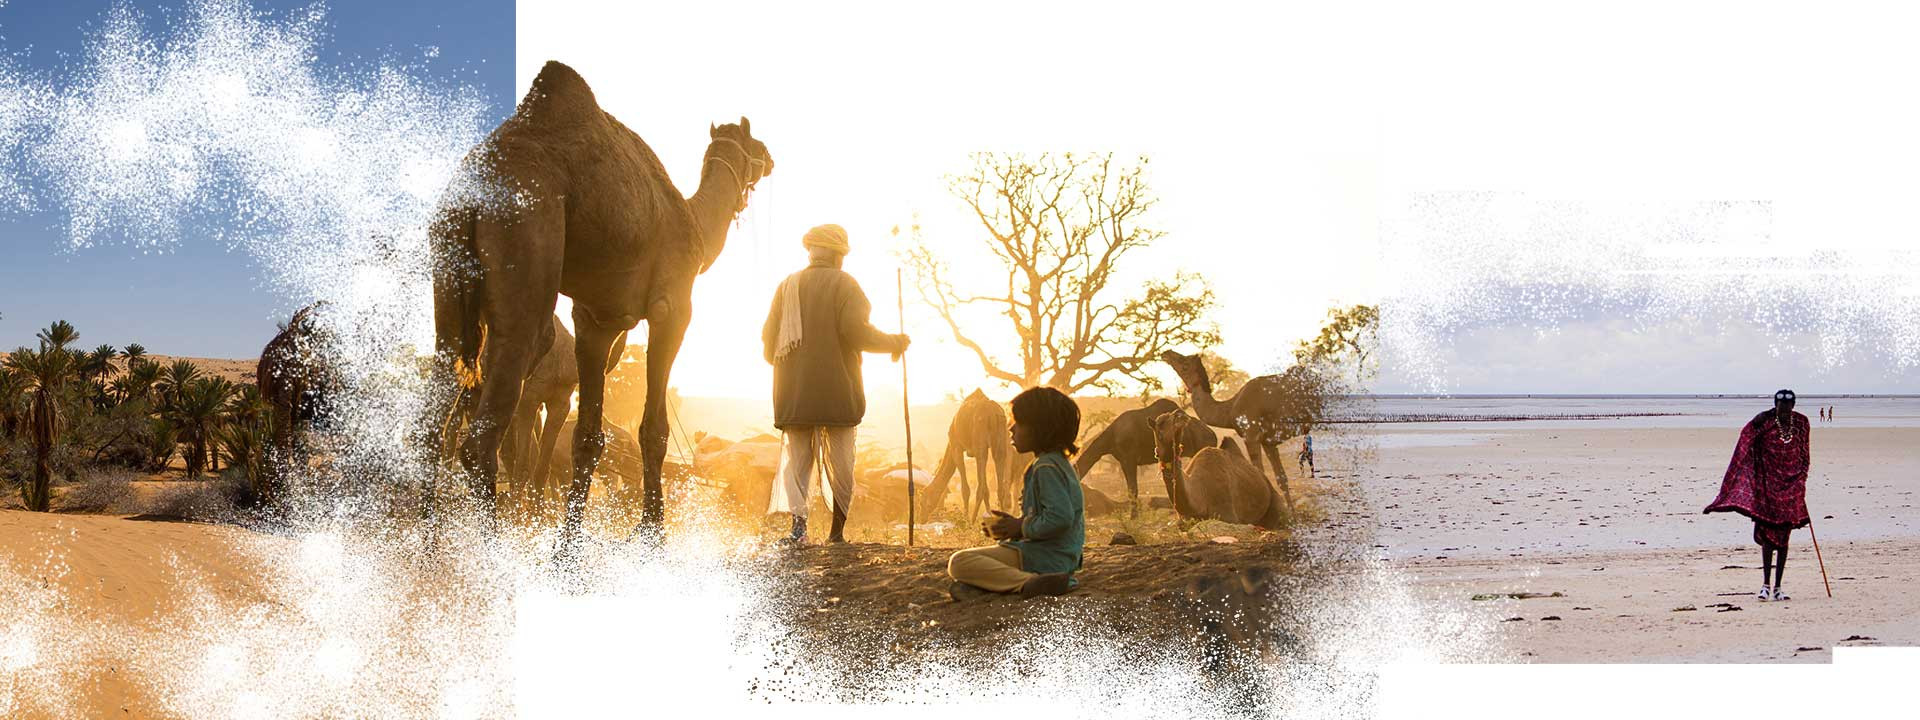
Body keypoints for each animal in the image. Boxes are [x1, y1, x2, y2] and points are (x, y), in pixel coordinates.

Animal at [430, 61, 771, 545]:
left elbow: (587, 438)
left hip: (447, 281)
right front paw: (651, 532)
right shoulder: (672, 306)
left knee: (440, 404)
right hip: (527, 238)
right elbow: (653, 428)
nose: (771, 159)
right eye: (755, 143)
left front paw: (569, 544)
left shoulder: (597, 320)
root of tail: (470, 197)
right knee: (487, 429)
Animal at [1067, 401, 1213, 514]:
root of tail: (1213, 435)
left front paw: (1134, 518)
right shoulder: (1125, 460)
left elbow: (1133, 490)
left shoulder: (1128, 459)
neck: (1111, 438)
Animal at [1159, 351, 1313, 514]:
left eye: (1185, 364)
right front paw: (1292, 514)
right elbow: (1281, 478)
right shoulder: (1268, 441)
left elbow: (1260, 472)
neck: (1229, 409)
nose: (1166, 353)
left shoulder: (1250, 436)